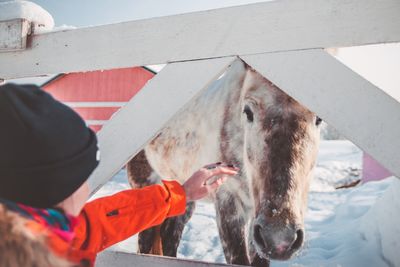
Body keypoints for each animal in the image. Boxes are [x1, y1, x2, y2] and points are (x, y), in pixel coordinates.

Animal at [126, 59, 320, 267]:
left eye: (319, 119)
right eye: (248, 112)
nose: (279, 237)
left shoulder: (256, 219)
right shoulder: (228, 201)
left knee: (169, 235)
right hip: (146, 189)